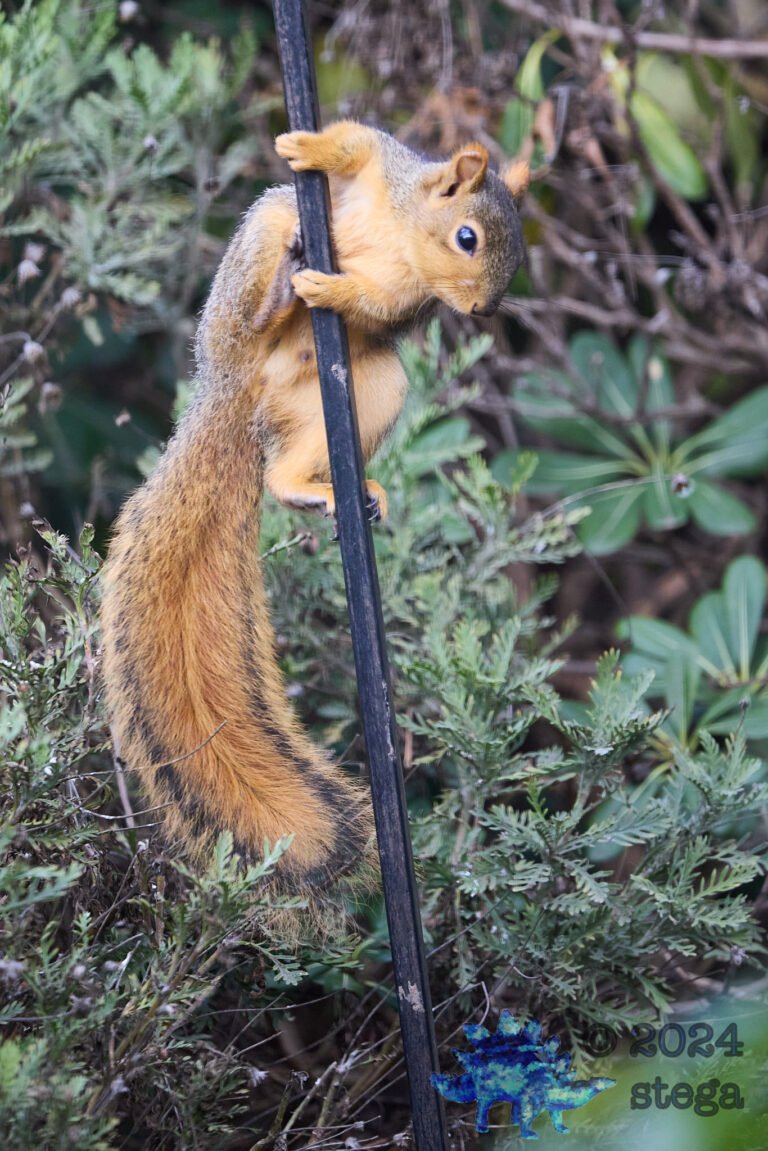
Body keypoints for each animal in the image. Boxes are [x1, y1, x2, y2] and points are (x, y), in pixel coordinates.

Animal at [100, 121, 528, 890]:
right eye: (469, 238)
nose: (482, 310)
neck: (405, 234)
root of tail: (235, 395)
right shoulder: (386, 167)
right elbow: (356, 144)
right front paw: (310, 149)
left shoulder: (401, 301)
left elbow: (375, 305)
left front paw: (337, 286)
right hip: (257, 255)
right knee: (257, 292)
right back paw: (276, 295)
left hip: (375, 384)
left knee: (282, 473)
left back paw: (330, 484)